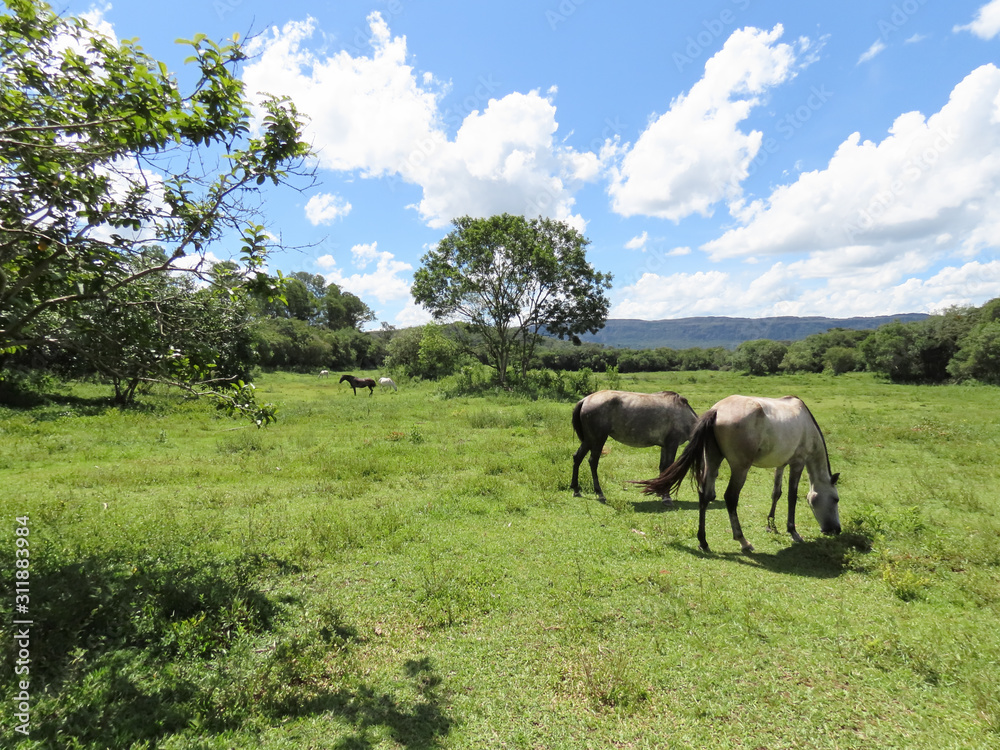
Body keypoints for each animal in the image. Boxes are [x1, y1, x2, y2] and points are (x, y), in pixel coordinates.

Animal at [636, 396, 840, 556]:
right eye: (836, 499)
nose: (836, 530)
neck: (807, 423)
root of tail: (717, 410)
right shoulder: (797, 462)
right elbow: (791, 496)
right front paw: (793, 532)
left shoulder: (781, 463)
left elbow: (776, 493)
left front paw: (771, 524)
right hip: (740, 467)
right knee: (730, 498)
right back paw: (743, 541)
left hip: (713, 459)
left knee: (704, 495)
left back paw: (703, 542)